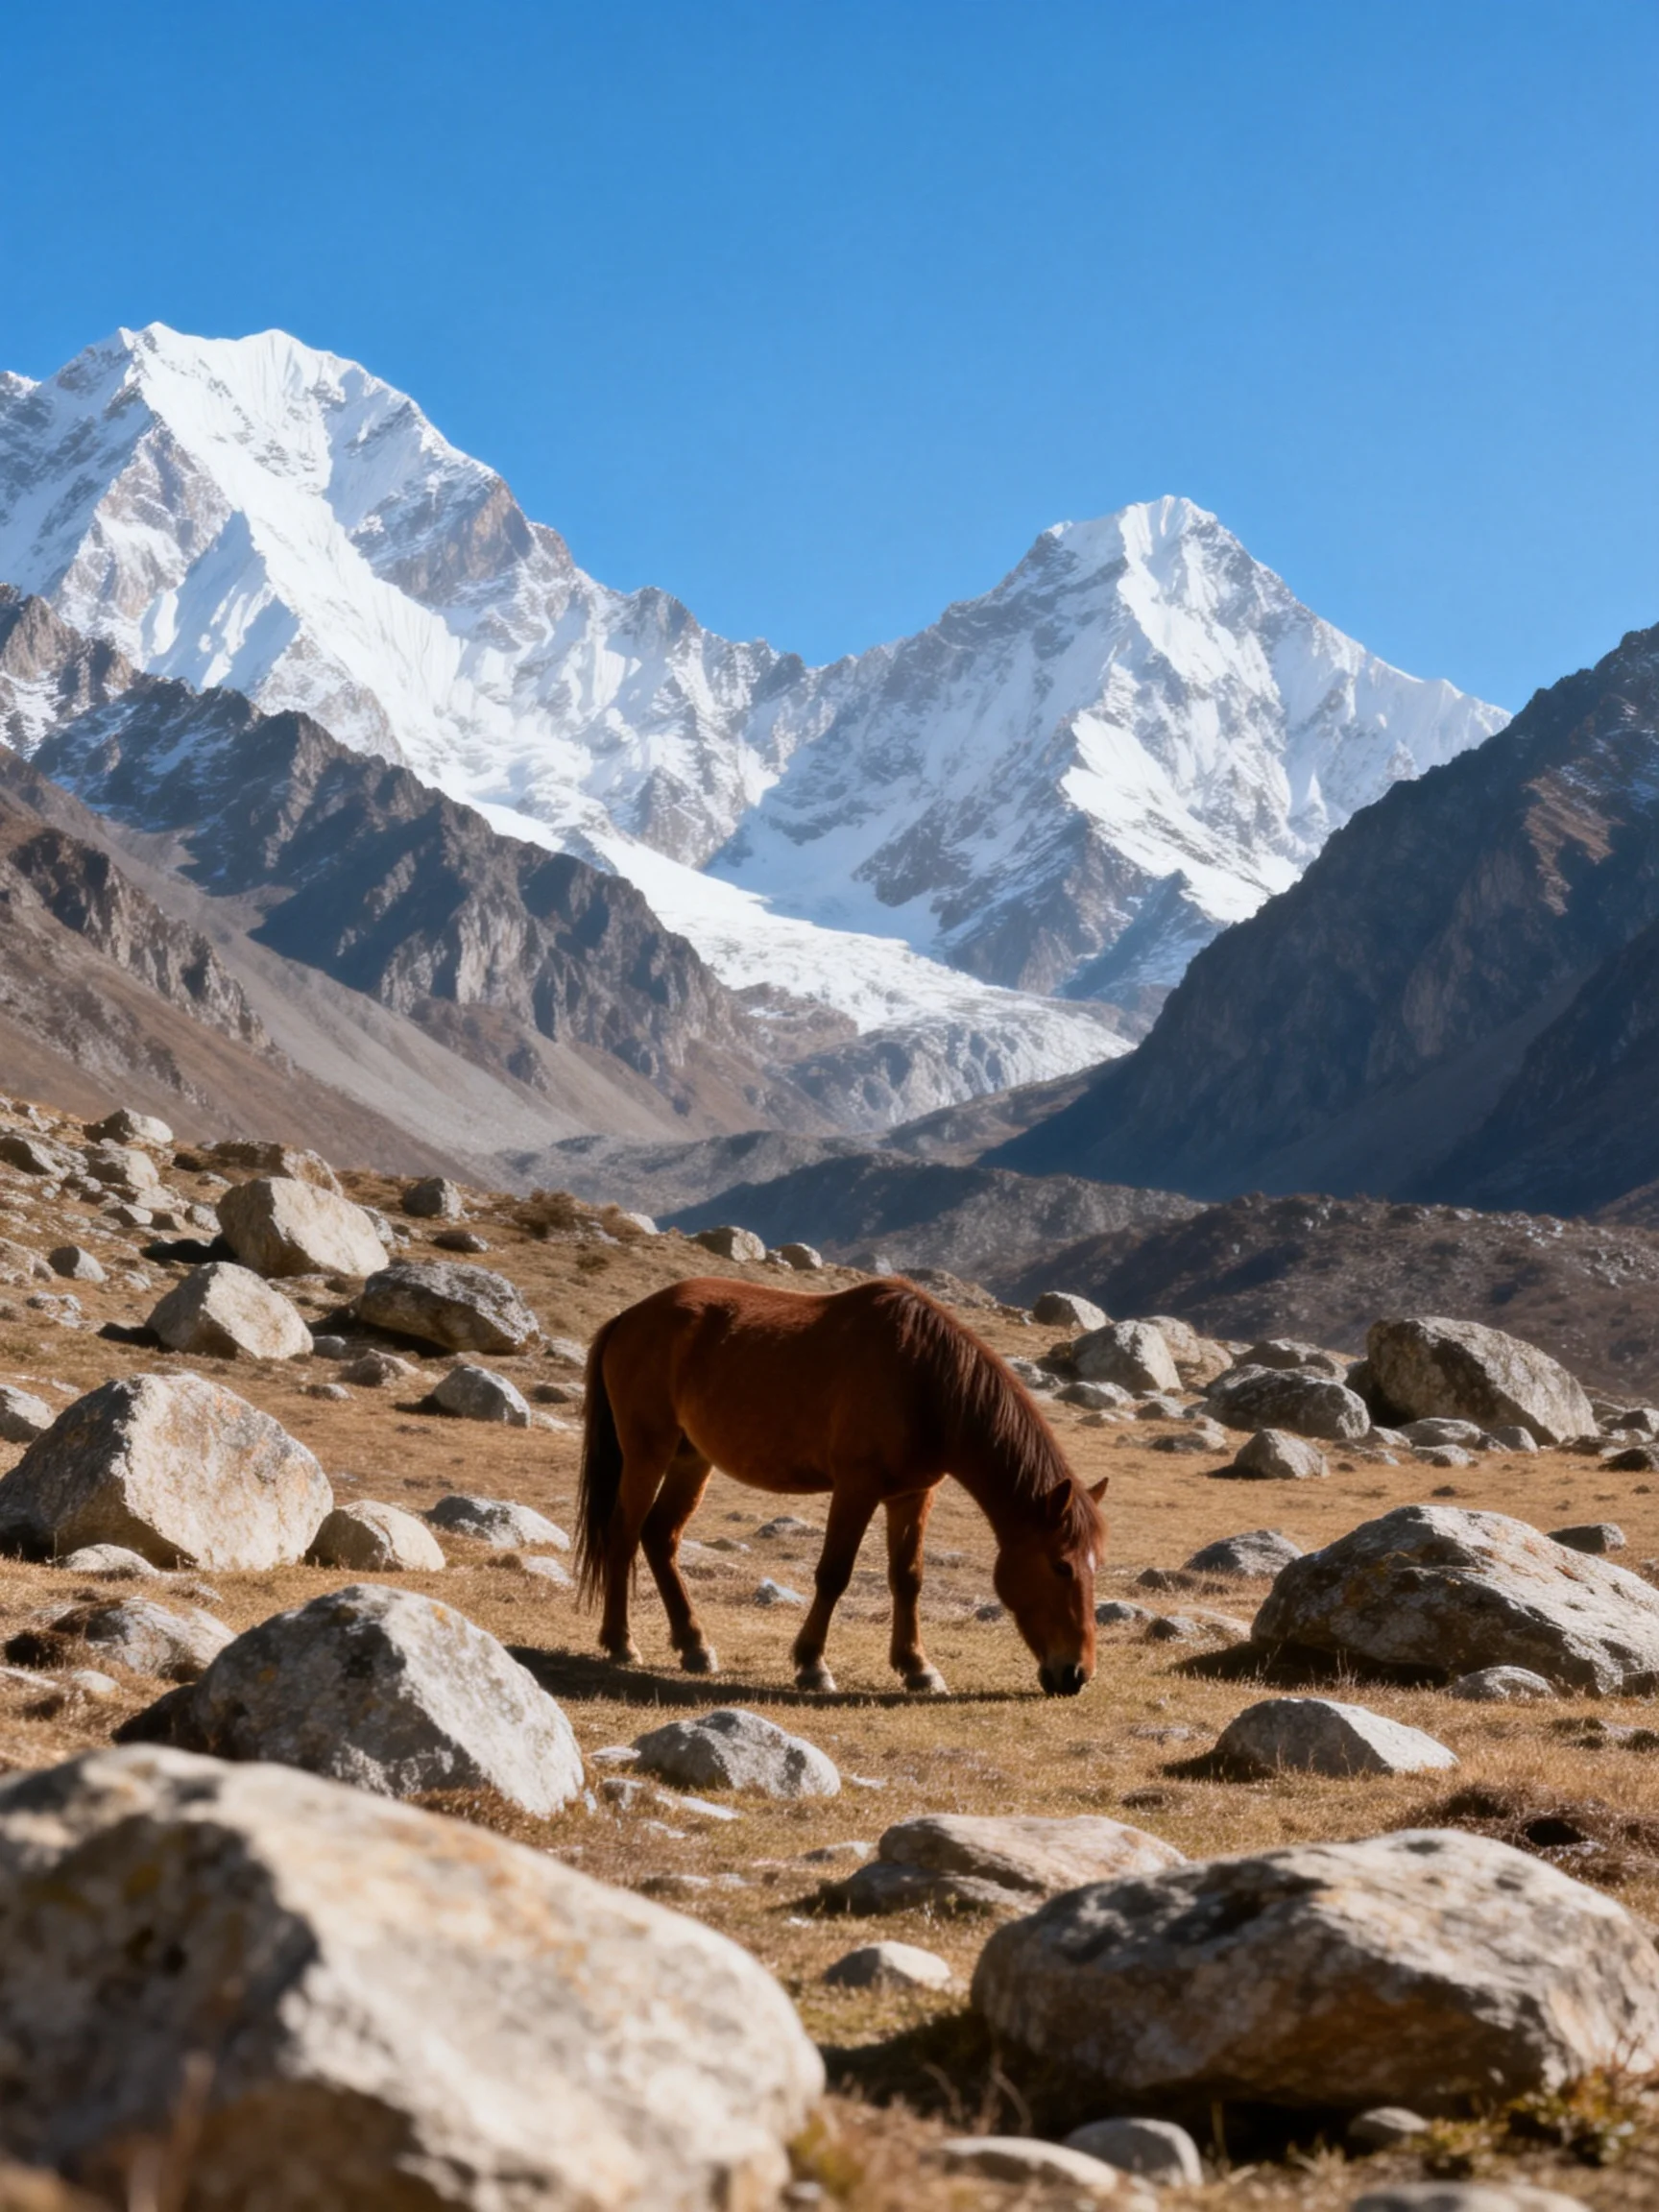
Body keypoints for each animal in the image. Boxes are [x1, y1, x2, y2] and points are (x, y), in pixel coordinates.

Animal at [576, 1274, 1107, 1697]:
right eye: (1061, 1566)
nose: (1076, 1674)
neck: (925, 1380)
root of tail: (629, 1317)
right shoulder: (856, 1487)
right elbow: (834, 1574)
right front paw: (813, 1664)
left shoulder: (913, 1495)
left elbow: (908, 1578)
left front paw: (917, 1668)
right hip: (648, 1452)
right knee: (624, 1534)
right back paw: (621, 1642)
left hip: (691, 1458)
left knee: (660, 1537)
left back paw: (694, 1646)